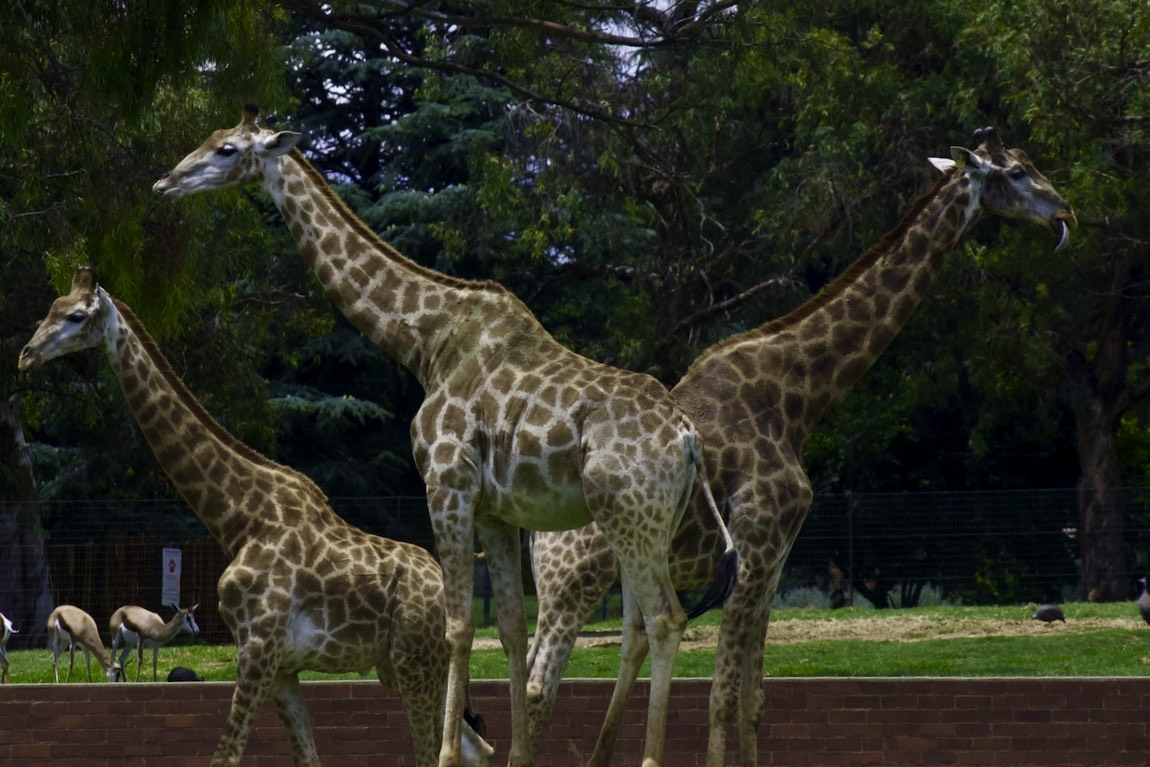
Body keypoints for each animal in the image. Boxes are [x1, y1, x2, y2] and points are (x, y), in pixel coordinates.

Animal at [18, 268, 494, 767]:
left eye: (76, 316)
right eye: (50, 307)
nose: (25, 355)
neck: (239, 519)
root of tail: (445, 591)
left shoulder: (258, 649)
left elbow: (226, 755)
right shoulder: (280, 665)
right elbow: (305, 757)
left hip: (415, 663)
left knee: (438, 750)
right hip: (402, 667)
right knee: (477, 747)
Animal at [152, 105, 738, 767]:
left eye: (226, 149)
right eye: (208, 140)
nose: (165, 183)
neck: (426, 343)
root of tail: (688, 439)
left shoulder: (445, 482)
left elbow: (459, 628)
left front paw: (449, 756)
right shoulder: (495, 511)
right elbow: (508, 629)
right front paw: (518, 757)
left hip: (628, 513)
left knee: (665, 620)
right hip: (643, 522)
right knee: (643, 627)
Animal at [526, 128, 1078, 767]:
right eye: (1015, 172)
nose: (1064, 211)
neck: (798, 398)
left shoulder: (775, 561)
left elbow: (753, 699)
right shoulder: (755, 547)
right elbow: (721, 695)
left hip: (613, 570)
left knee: (597, 655)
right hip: (573, 575)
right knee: (540, 681)